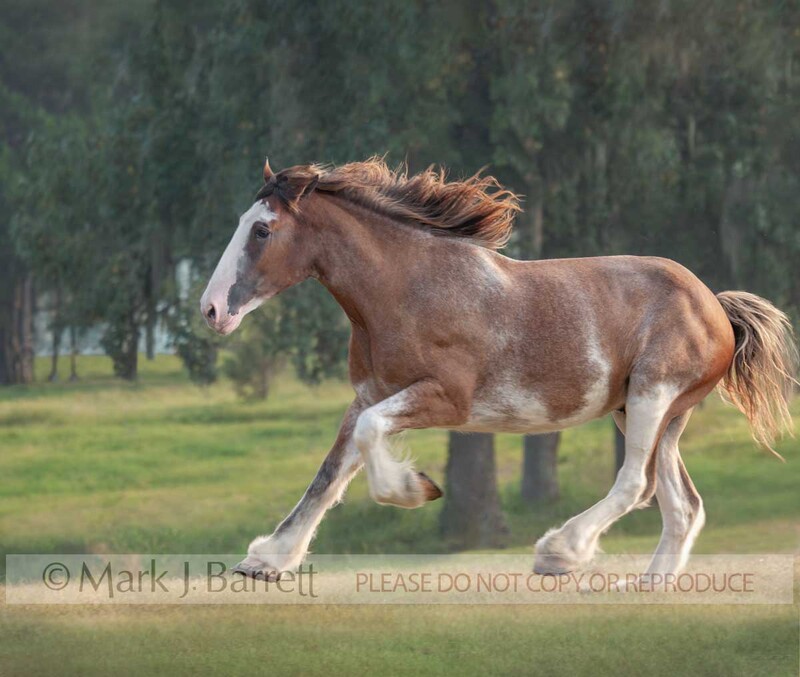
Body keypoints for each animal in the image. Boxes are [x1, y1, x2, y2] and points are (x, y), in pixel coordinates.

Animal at [200, 157, 797, 581]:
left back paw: (559, 553)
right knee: (681, 504)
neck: (408, 289)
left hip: (653, 397)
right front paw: (266, 560)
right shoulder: (369, 394)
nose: (211, 309)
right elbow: (328, 474)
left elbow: (369, 441)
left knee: (637, 483)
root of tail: (716, 306)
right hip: (650, 412)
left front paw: (414, 488)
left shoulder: (445, 398)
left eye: (261, 230)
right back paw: (647, 585)